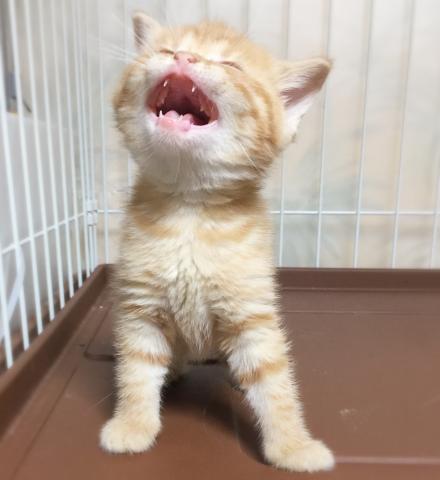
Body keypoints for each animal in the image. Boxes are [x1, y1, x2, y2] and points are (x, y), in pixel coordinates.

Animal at [100, 12, 334, 473]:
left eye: (231, 66)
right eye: (167, 50)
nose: (184, 58)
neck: (190, 211)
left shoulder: (252, 313)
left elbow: (274, 382)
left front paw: (293, 446)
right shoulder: (140, 307)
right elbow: (137, 369)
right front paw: (133, 424)